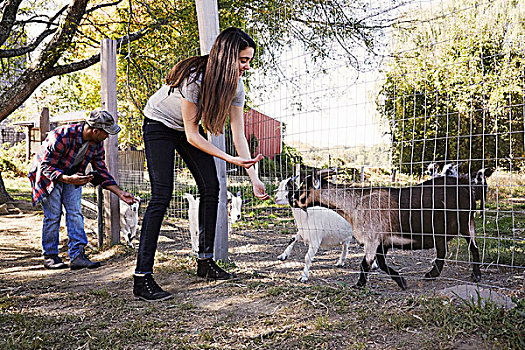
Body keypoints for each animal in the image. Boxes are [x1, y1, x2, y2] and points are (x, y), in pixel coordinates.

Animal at [292, 170, 482, 290]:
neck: (356, 204)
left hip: (466, 222)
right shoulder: (382, 242)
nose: (292, 198)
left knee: (473, 247)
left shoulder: (372, 239)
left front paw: (358, 285)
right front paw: (402, 282)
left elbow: (365, 263)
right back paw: (431, 275)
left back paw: (476, 275)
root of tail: (465, 186)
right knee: (444, 251)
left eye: (303, 187)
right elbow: (381, 263)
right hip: (447, 230)